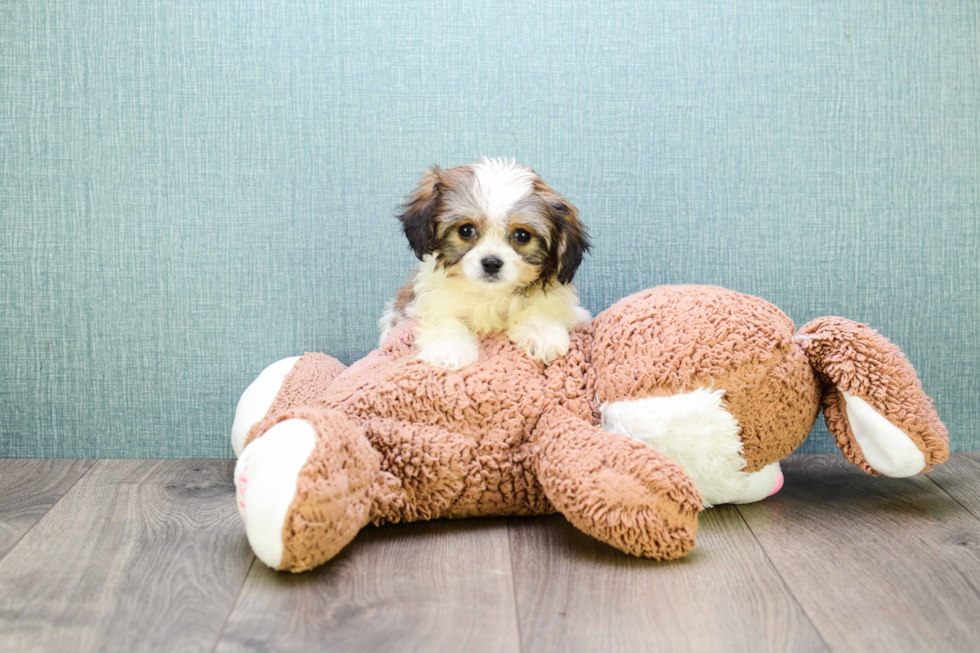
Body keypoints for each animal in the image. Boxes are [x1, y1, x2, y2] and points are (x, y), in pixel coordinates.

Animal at [380, 157, 588, 370]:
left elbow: (542, 309)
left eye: (522, 235)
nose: (491, 263)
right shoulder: (427, 301)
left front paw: (543, 334)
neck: (490, 295)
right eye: (465, 230)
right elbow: (444, 318)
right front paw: (450, 349)